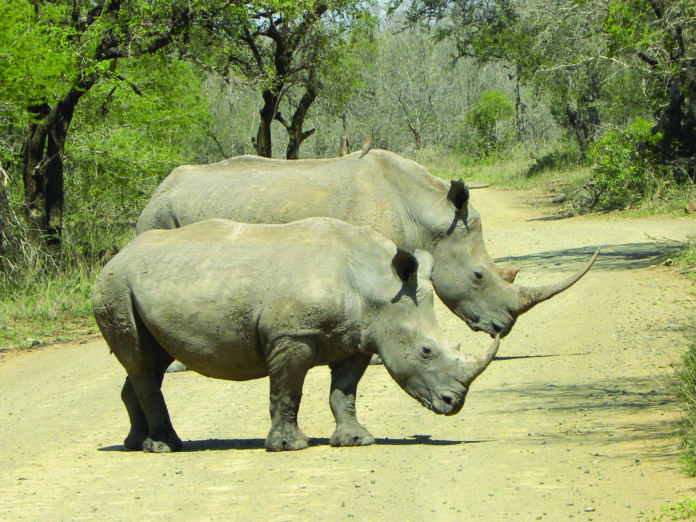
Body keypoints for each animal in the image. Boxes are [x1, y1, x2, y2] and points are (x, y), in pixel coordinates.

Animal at [93, 217, 500, 453]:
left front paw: (356, 440)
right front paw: (290, 446)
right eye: (426, 351)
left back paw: (136, 444)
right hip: (115, 286)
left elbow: (344, 393)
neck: (378, 286)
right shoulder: (292, 335)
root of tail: (116, 256)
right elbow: (287, 390)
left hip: (144, 285)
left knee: (150, 360)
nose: (453, 404)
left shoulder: (358, 338)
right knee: (141, 361)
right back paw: (165, 446)